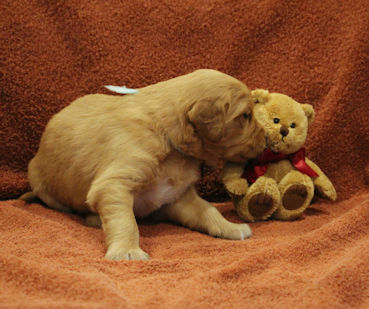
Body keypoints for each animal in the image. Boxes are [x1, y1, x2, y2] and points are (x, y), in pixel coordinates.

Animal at [20, 68, 264, 258]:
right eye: (246, 115)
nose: (267, 139)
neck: (168, 135)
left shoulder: (177, 195)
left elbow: (207, 210)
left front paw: (229, 227)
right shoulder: (114, 184)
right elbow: (126, 221)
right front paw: (126, 251)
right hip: (41, 182)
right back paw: (94, 218)